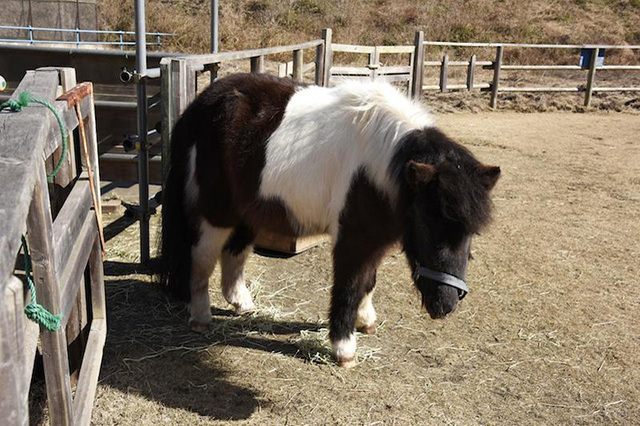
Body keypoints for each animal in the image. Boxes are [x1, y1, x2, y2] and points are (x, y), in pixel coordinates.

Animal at [161, 72, 500, 366]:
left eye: (472, 232)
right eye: (428, 219)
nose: (445, 305)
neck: (380, 163)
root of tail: (205, 102)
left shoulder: (374, 237)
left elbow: (368, 282)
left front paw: (366, 321)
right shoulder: (354, 238)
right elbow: (349, 285)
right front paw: (344, 348)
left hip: (247, 210)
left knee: (235, 254)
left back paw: (242, 303)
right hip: (216, 213)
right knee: (202, 257)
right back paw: (201, 316)